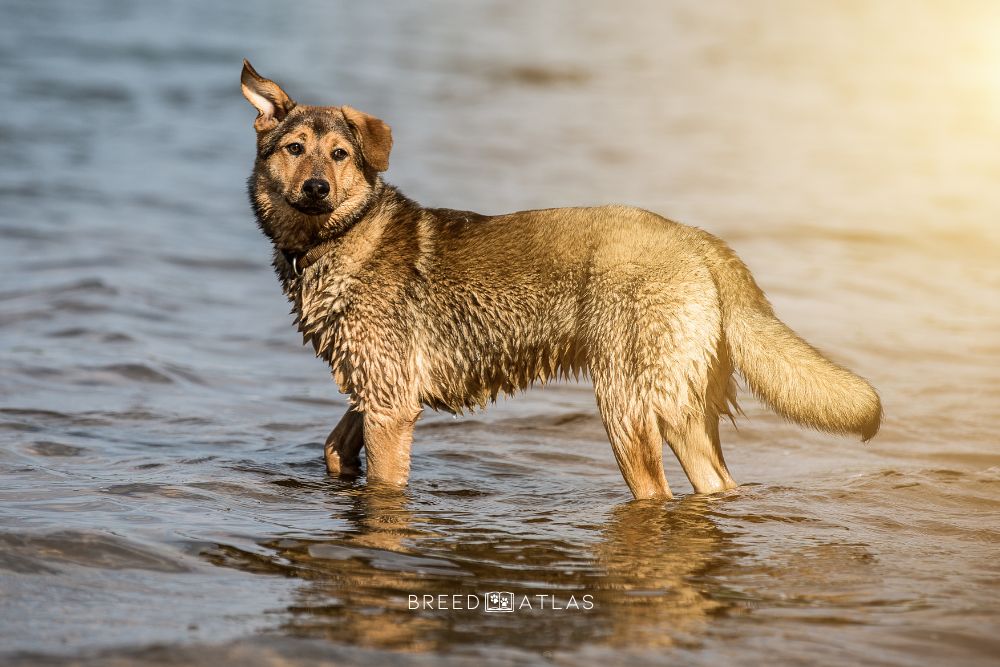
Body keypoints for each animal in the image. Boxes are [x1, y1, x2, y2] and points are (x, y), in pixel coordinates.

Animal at [238, 61, 880, 500]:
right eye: (294, 148)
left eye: (340, 154)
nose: (316, 188)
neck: (336, 238)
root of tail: (699, 239)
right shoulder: (377, 391)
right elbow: (333, 446)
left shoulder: (392, 407)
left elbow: (382, 484)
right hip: (684, 407)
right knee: (716, 486)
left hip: (627, 405)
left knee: (657, 492)